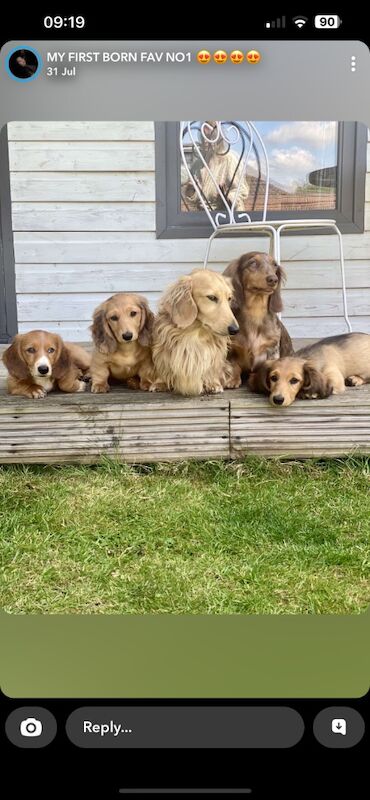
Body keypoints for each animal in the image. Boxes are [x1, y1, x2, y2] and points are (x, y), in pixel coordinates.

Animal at [224, 252, 294, 386]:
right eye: (253, 263)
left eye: (275, 265)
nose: (273, 279)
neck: (255, 313)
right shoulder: (232, 347)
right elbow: (234, 365)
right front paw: (232, 379)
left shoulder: (271, 349)